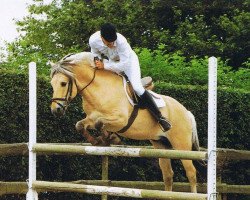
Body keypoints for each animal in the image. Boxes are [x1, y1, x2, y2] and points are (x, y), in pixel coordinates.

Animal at [50, 52, 201, 193]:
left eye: (63, 83)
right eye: (51, 84)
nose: (55, 110)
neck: (100, 90)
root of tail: (186, 112)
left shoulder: (121, 120)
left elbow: (100, 123)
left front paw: (110, 138)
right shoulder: (91, 118)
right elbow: (80, 125)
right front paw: (99, 141)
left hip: (181, 145)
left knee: (191, 172)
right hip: (161, 144)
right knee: (168, 174)